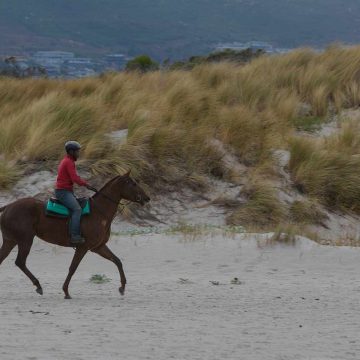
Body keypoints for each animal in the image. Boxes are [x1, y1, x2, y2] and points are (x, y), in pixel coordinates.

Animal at [0, 171, 150, 298]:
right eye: (133, 183)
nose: (147, 198)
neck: (98, 212)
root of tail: (8, 206)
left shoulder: (99, 247)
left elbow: (117, 261)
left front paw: (122, 287)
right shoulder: (83, 247)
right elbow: (73, 267)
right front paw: (66, 291)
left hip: (10, 241)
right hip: (25, 240)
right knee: (20, 262)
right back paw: (38, 285)